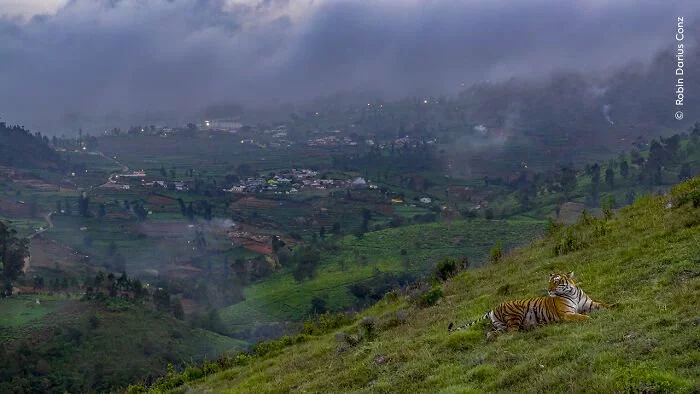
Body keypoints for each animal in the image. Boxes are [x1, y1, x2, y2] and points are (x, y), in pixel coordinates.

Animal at [448, 270, 612, 338]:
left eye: (556, 281)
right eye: (549, 282)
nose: (548, 290)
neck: (571, 292)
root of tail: (493, 308)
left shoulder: (589, 304)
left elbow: (604, 305)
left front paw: (615, 306)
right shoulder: (566, 314)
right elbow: (579, 316)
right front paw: (589, 319)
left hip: (501, 325)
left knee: (495, 332)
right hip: (516, 314)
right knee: (512, 332)